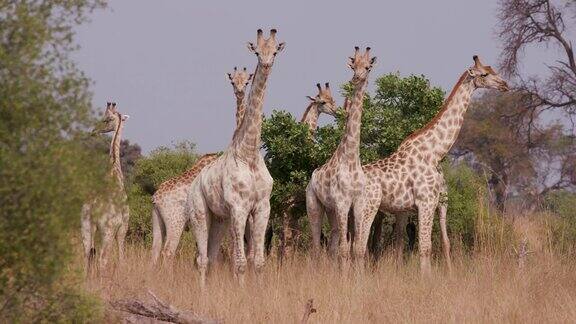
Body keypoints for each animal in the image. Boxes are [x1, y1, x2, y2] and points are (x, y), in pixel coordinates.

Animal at [81, 102, 130, 272]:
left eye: (107, 119)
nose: (93, 131)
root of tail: (94, 209)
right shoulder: (123, 228)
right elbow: (121, 258)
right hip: (107, 231)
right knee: (103, 259)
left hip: (86, 227)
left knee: (87, 256)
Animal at [151, 66, 252, 264]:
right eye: (232, 81)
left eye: (246, 82)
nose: (239, 92)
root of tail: (156, 198)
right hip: (175, 222)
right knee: (168, 252)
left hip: (157, 222)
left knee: (154, 252)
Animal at [186, 29, 284, 284]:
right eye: (257, 52)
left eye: (275, 51)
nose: (266, 64)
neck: (249, 154)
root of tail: (194, 183)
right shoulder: (238, 208)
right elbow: (239, 263)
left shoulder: (262, 207)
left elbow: (258, 262)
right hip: (199, 213)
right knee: (201, 259)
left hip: (219, 219)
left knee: (210, 258)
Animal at [308, 46, 376, 264]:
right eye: (353, 65)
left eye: (368, 67)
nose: (356, 78)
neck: (352, 158)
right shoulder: (342, 202)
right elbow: (345, 250)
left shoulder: (358, 203)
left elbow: (357, 249)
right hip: (314, 206)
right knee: (316, 248)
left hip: (331, 211)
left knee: (331, 247)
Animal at [352, 55, 508, 274]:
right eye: (484, 74)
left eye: (493, 70)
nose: (505, 85)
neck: (434, 153)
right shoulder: (425, 202)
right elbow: (425, 247)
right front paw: (426, 279)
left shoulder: (433, 203)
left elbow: (433, 244)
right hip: (368, 207)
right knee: (359, 247)